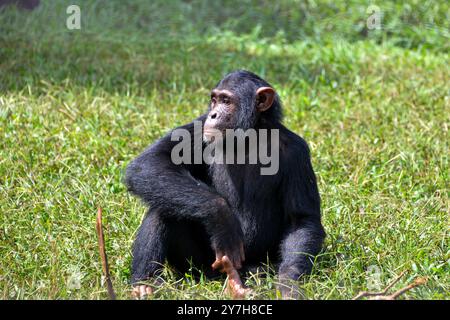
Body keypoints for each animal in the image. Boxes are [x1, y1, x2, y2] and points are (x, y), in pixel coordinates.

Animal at [125, 70, 326, 300]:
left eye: (226, 101)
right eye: (214, 100)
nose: (213, 114)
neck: (248, 138)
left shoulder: (297, 152)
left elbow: (300, 220)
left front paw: (288, 284)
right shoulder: (198, 126)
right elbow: (152, 161)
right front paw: (222, 218)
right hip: (201, 264)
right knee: (162, 206)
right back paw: (145, 282)